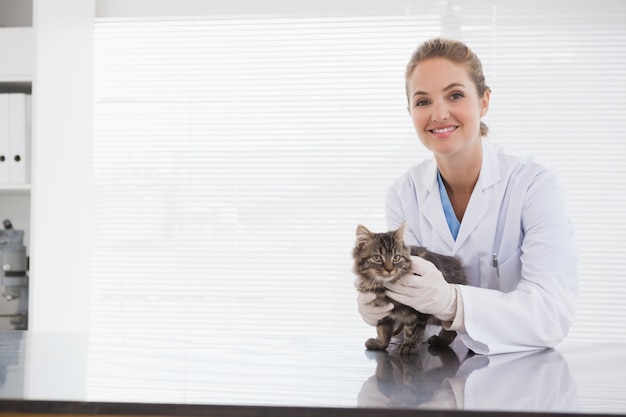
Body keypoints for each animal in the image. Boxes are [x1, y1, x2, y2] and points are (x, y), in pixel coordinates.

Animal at [352, 223, 464, 352]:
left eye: (396, 257)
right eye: (377, 258)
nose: (389, 269)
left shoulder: (417, 312)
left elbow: (412, 330)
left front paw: (409, 346)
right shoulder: (382, 311)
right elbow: (383, 330)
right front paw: (380, 344)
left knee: (452, 326)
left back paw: (440, 340)